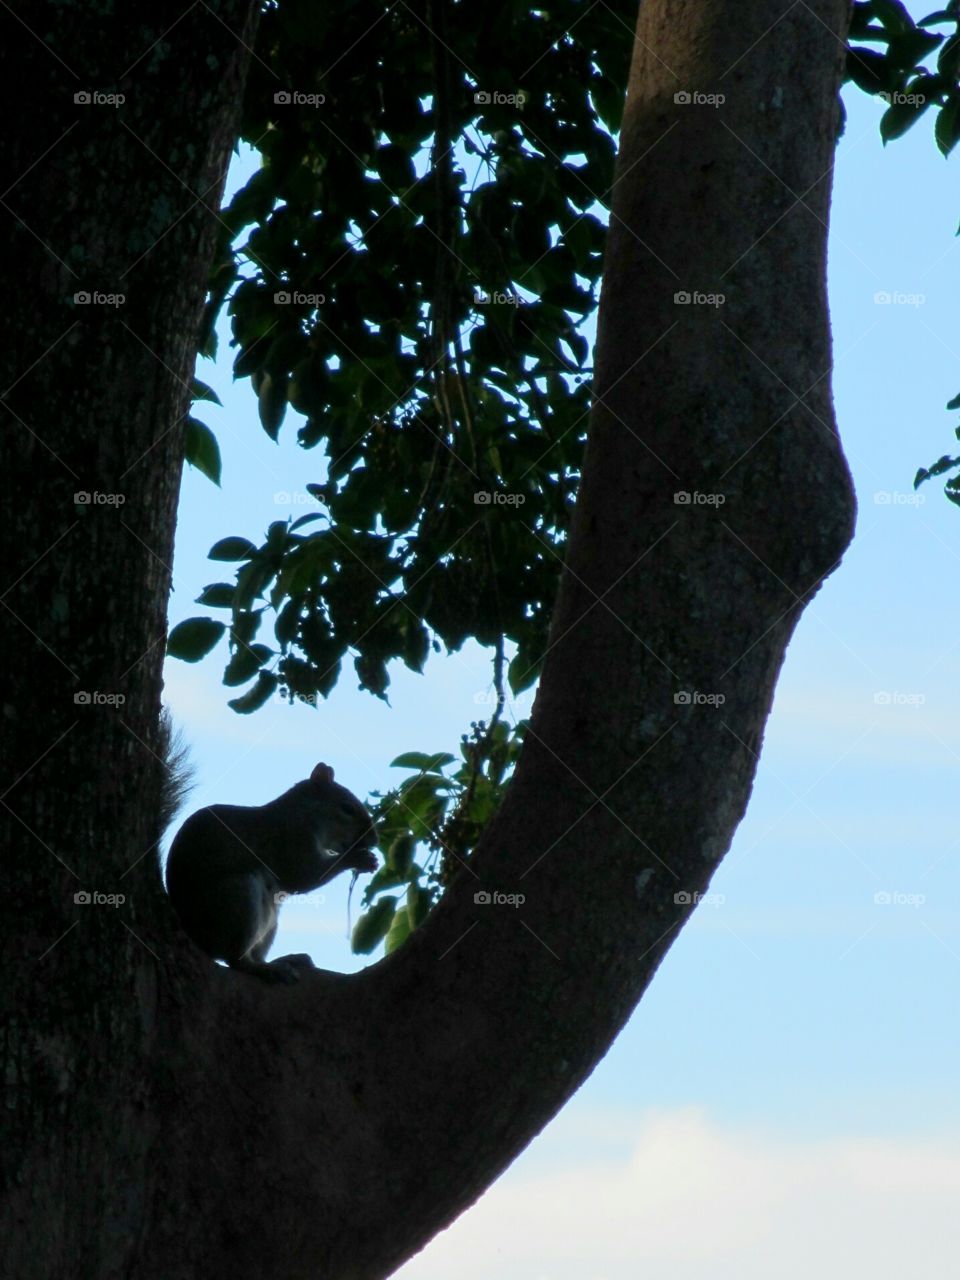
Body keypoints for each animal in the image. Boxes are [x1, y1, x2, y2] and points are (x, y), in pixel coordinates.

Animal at [160, 716, 377, 982]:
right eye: (347, 808)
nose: (374, 839)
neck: (304, 814)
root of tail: (197, 938)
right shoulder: (290, 841)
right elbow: (303, 876)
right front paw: (357, 858)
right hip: (238, 898)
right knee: (236, 960)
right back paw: (267, 968)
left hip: (271, 919)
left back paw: (285, 960)